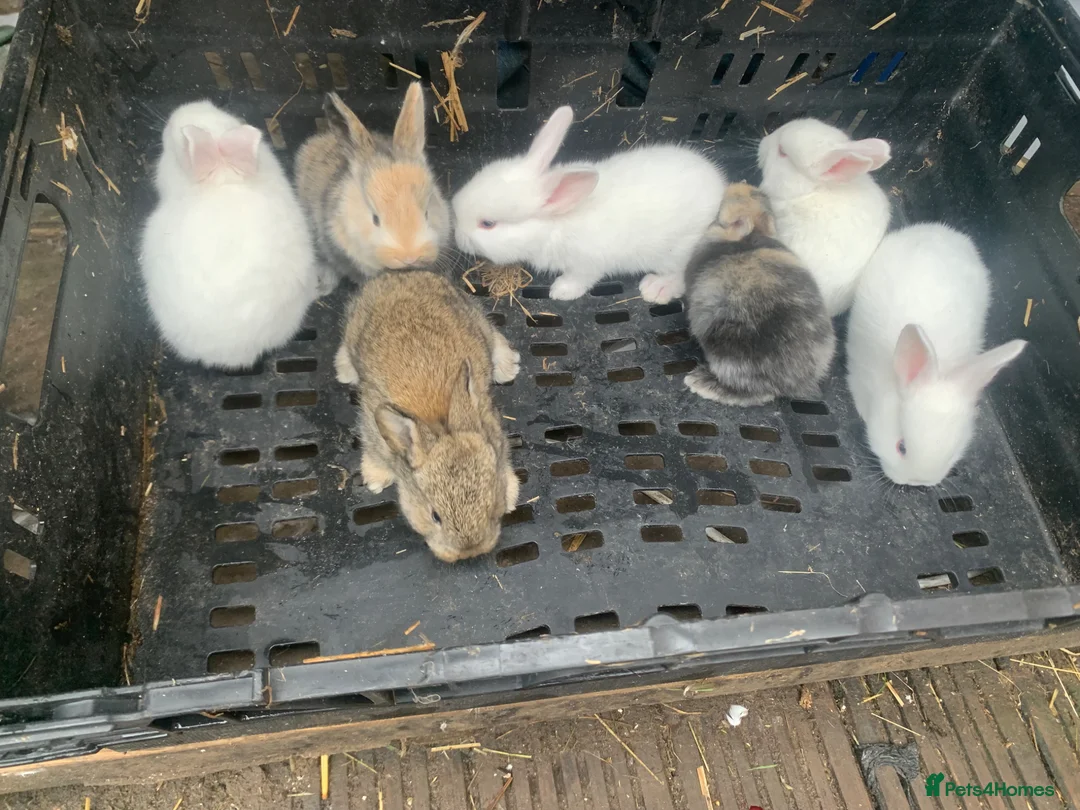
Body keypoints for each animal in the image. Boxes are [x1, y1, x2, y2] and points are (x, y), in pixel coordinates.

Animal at [335, 270, 522, 563]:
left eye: (492, 503)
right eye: (435, 516)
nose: (470, 551)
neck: (437, 422)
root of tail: (401, 275)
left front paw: (512, 493)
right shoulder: (371, 423)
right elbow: (374, 451)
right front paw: (376, 480)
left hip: (476, 320)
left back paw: (507, 367)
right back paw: (343, 370)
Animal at [452, 105, 727, 303]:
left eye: (488, 224)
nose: (457, 237)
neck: (554, 225)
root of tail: (720, 188)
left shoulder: (588, 263)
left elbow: (580, 279)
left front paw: (560, 291)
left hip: (680, 252)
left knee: (681, 276)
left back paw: (655, 289)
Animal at [683, 182, 836, 406]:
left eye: (738, 198)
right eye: (757, 194)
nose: (738, 183)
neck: (747, 237)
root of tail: (797, 380)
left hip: (730, 357)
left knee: (754, 393)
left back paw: (699, 382)